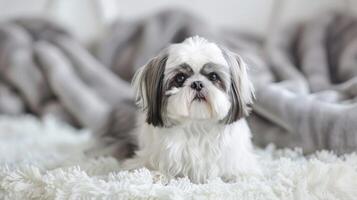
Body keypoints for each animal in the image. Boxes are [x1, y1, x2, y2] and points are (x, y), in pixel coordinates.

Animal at [97, 35, 258, 183]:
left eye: (213, 76)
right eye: (180, 78)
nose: (197, 83)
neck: (197, 125)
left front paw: (239, 177)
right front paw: (158, 175)